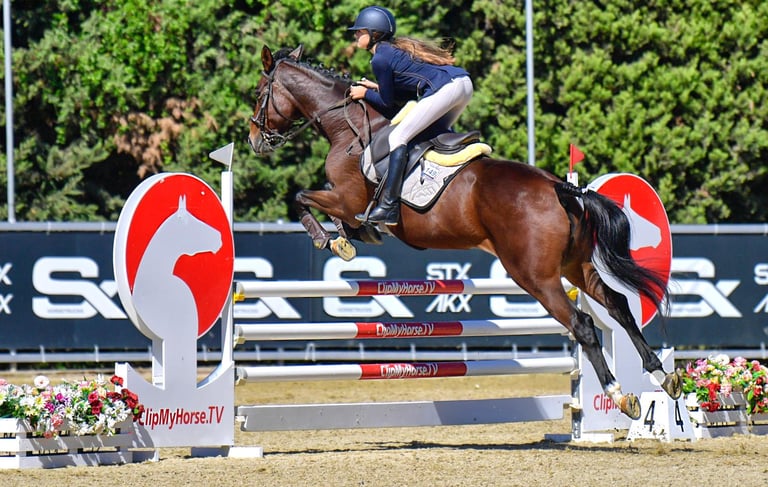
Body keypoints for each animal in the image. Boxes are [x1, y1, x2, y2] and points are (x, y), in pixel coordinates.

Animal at [247, 44, 681, 419]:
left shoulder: (345, 197)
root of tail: (561, 188)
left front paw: (326, 238)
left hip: (535, 276)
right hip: (577, 266)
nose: (254, 140)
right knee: (618, 305)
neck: (346, 127)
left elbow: (303, 198)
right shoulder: (349, 208)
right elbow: (342, 223)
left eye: (259, 94)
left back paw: (619, 394)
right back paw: (663, 376)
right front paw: (341, 240)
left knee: (584, 325)